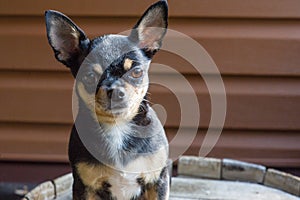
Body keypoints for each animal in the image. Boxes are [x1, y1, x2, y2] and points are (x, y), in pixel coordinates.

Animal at [45, 0, 170, 199]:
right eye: (89, 77)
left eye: (137, 72)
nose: (115, 91)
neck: (117, 125)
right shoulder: (83, 187)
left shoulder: (157, 181)